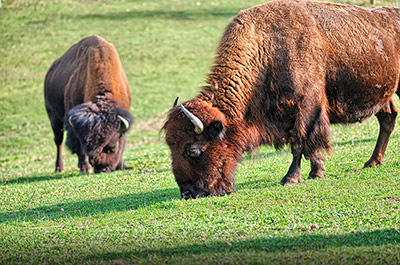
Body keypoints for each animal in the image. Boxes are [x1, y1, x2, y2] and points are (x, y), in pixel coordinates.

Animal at [44, 35, 134, 173]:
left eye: (113, 146)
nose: (103, 168)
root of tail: (49, 74)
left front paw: (122, 165)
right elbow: (80, 147)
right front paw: (86, 168)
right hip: (53, 117)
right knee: (58, 140)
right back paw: (60, 168)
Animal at [164, 0, 400, 198]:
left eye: (193, 151)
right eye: (170, 145)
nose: (188, 193)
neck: (266, 48)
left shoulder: (306, 108)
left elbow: (299, 143)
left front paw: (291, 178)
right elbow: (308, 145)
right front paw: (316, 172)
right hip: (385, 93)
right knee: (388, 118)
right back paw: (372, 162)